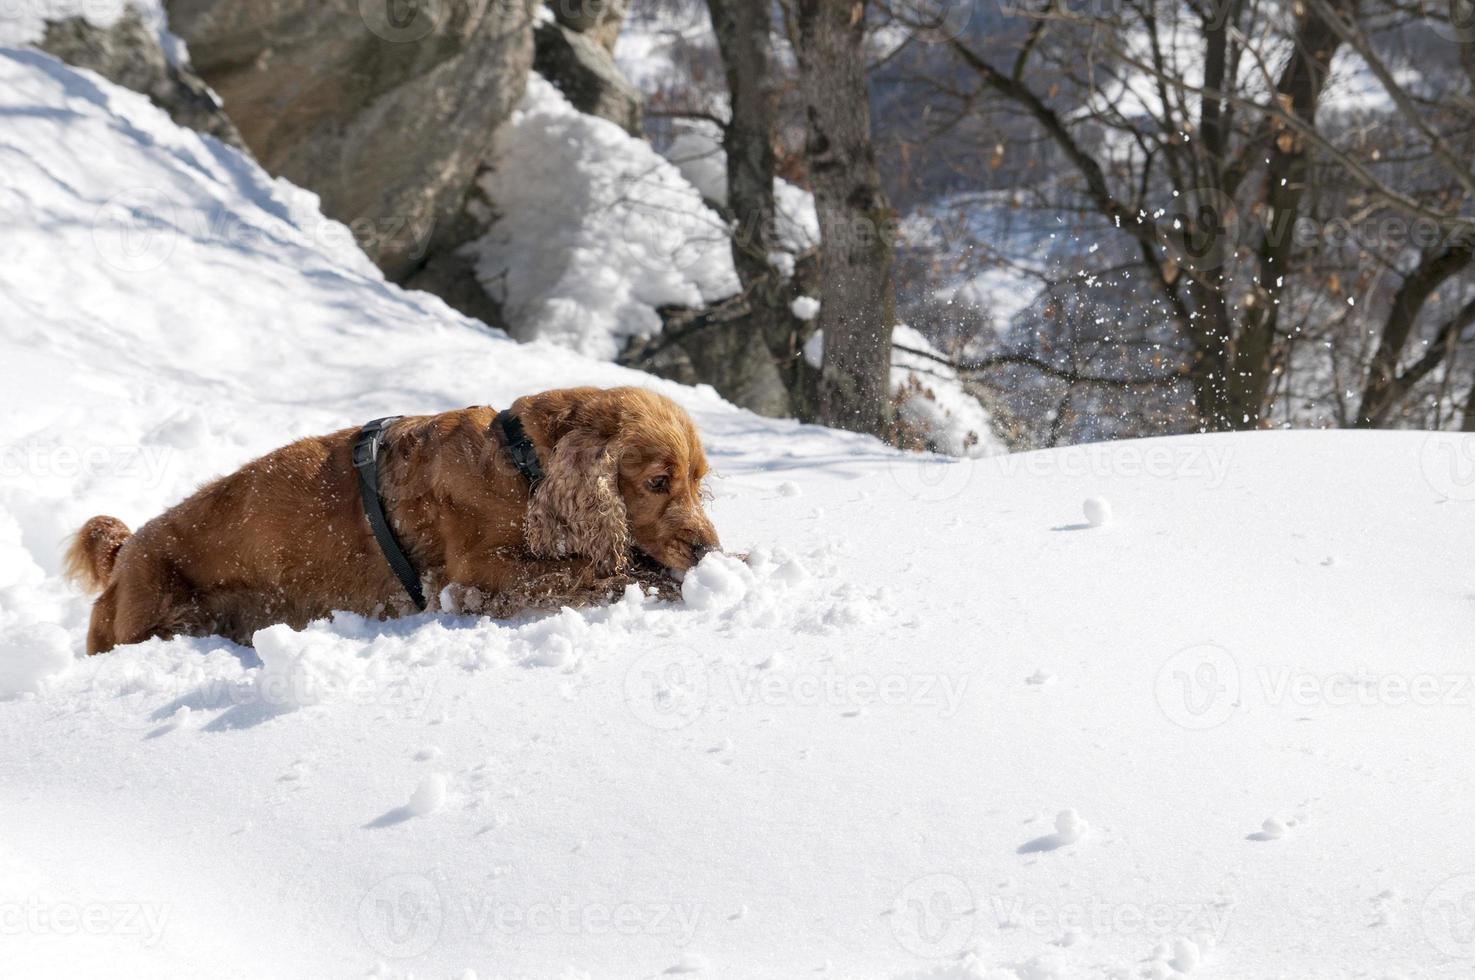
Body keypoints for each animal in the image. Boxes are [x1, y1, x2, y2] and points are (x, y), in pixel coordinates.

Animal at [63, 386, 719, 655]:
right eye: (657, 482)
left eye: (698, 480)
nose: (706, 548)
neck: (520, 462)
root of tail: (124, 551)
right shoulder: (476, 578)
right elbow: (593, 572)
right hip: (160, 617)